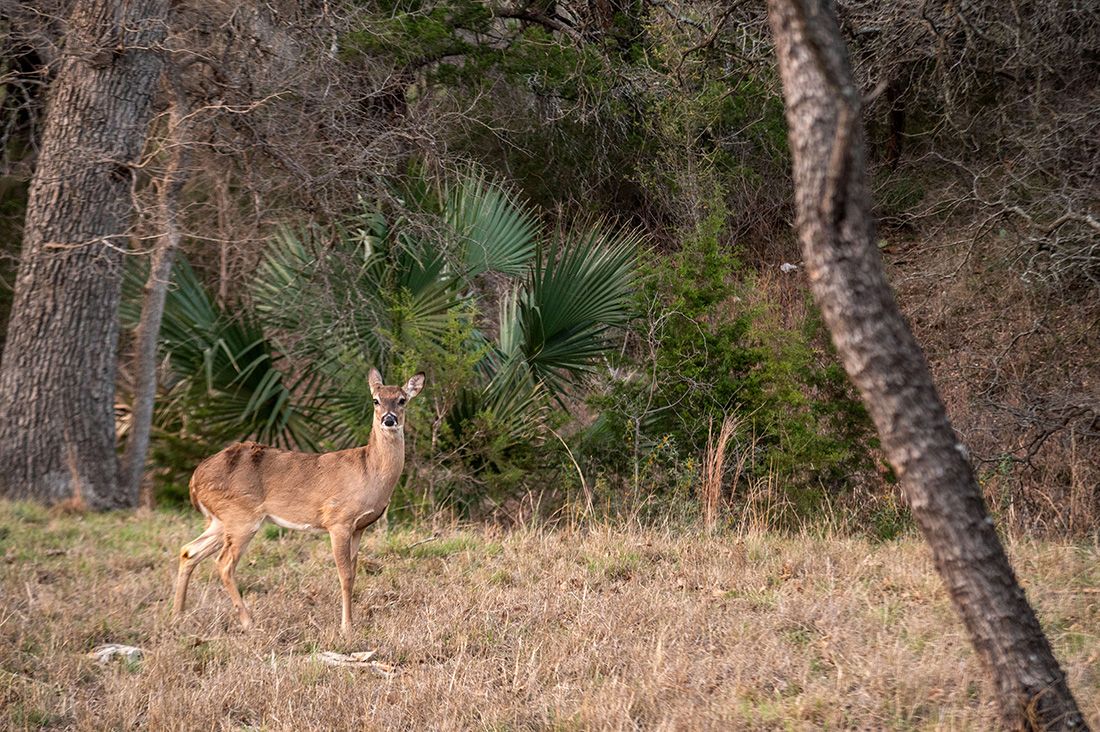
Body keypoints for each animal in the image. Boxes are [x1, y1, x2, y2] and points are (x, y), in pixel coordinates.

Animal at [171, 368, 425, 635]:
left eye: (402, 400)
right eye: (376, 400)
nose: (389, 419)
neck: (369, 470)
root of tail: (195, 479)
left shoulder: (359, 528)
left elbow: (354, 574)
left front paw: (351, 622)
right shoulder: (338, 521)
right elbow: (344, 576)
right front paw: (346, 627)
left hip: (222, 521)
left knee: (188, 551)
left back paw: (178, 616)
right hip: (242, 516)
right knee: (223, 564)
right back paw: (248, 622)